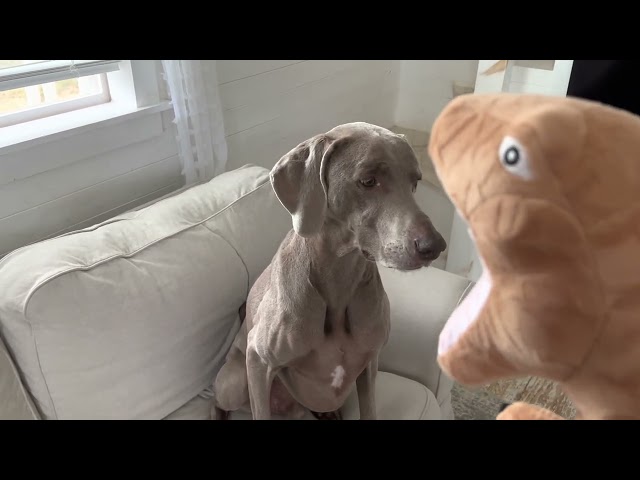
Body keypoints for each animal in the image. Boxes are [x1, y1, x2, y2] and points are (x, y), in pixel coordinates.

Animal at [214, 124, 444, 420]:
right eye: (368, 181)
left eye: (415, 182)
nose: (434, 246)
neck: (339, 280)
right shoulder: (258, 359)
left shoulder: (370, 361)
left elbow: (369, 409)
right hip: (233, 383)